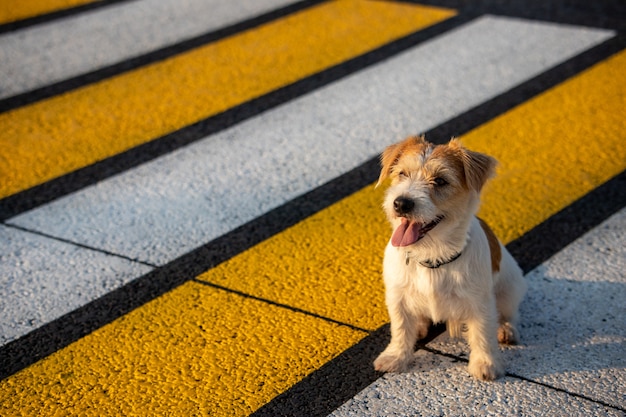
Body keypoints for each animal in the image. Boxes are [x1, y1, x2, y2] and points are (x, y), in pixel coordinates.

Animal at [372, 135, 524, 378]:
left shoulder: (479, 301)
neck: (432, 256)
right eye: (402, 173)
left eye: (440, 181)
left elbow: (483, 332)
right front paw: (396, 357)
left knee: (507, 315)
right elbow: (401, 328)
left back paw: (505, 329)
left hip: (510, 289)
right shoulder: (398, 297)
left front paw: (485, 363)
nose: (401, 203)